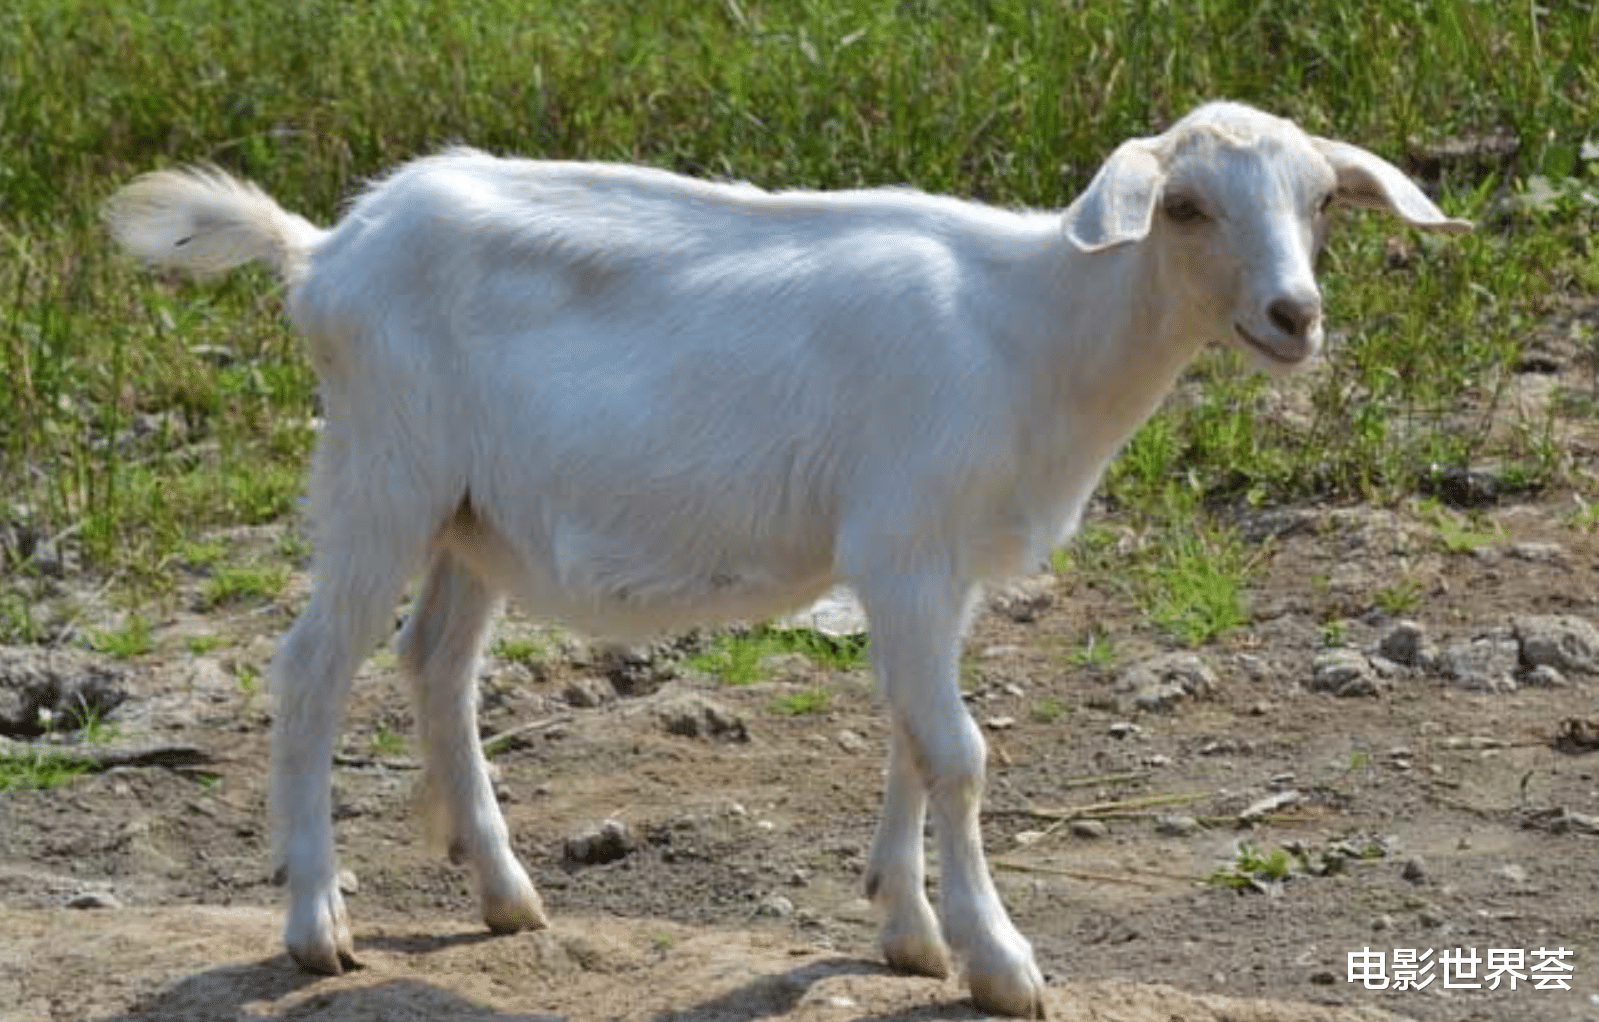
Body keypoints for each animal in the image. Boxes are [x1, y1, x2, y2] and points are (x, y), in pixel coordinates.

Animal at [106, 101, 1464, 1017]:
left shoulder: (937, 567)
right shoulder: (905, 547)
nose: (1295, 317)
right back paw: (315, 923)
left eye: (1321, 201)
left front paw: (909, 931)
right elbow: (960, 751)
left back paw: (504, 890)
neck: (1034, 333)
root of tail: (320, 249)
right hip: (380, 470)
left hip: (472, 512)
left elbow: (914, 737)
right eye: (1184, 206)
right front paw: (1001, 960)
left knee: (434, 662)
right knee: (310, 668)